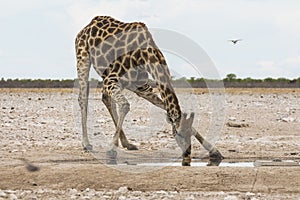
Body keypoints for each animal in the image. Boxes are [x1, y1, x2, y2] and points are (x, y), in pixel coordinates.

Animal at [75, 16, 223, 166]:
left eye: (189, 134)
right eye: (179, 134)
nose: (187, 154)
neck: (144, 57)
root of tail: (89, 24)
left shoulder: (140, 87)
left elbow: (163, 107)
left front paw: (214, 151)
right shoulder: (111, 79)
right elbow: (125, 105)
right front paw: (111, 150)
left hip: (123, 83)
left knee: (106, 99)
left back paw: (127, 143)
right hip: (83, 58)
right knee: (83, 98)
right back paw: (86, 144)